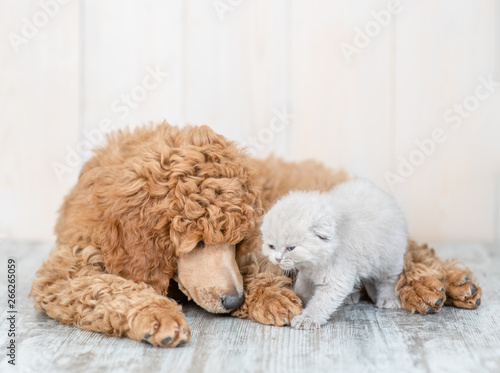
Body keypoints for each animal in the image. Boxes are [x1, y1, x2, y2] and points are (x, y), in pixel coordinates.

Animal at [260, 179, 408, 328]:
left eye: (291, 248)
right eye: (271, 246)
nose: (277, 259)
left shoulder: (337, 278)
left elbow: (320, 303)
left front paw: (307, 318)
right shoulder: (307, 274)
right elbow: (302, 288)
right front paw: (297, 299)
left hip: (390, 258)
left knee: (388, 281)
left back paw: (388, 299)